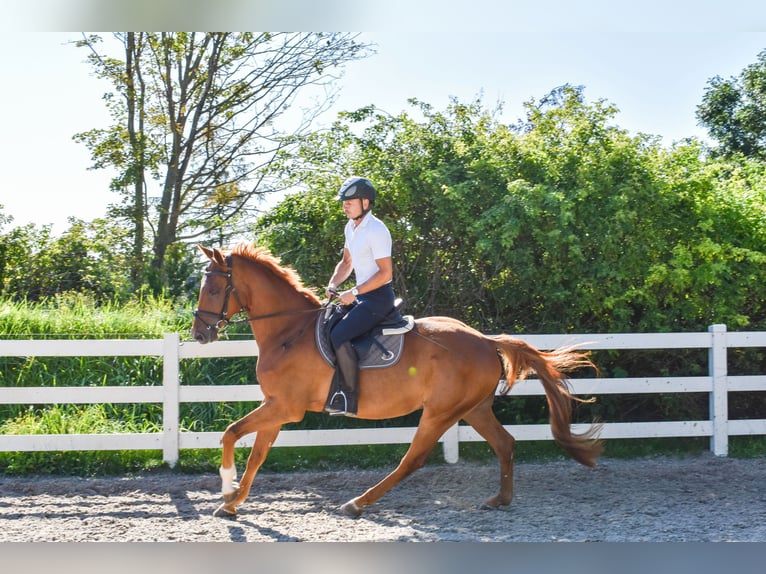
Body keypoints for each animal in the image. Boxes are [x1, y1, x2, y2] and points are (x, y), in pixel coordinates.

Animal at [190, 242, 603, 518]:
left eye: (213, 288)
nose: (199, 334)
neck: (289, 331)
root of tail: (485, 340)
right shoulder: (276, 407)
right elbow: (257, 452)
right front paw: (233, 503)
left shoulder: (285, 408)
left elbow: (230, 433)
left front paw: (225, 489)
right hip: (474, 409)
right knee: (505, 443)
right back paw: (499, 500)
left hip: (440, 412)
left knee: (413, 458)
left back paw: (358, 502)